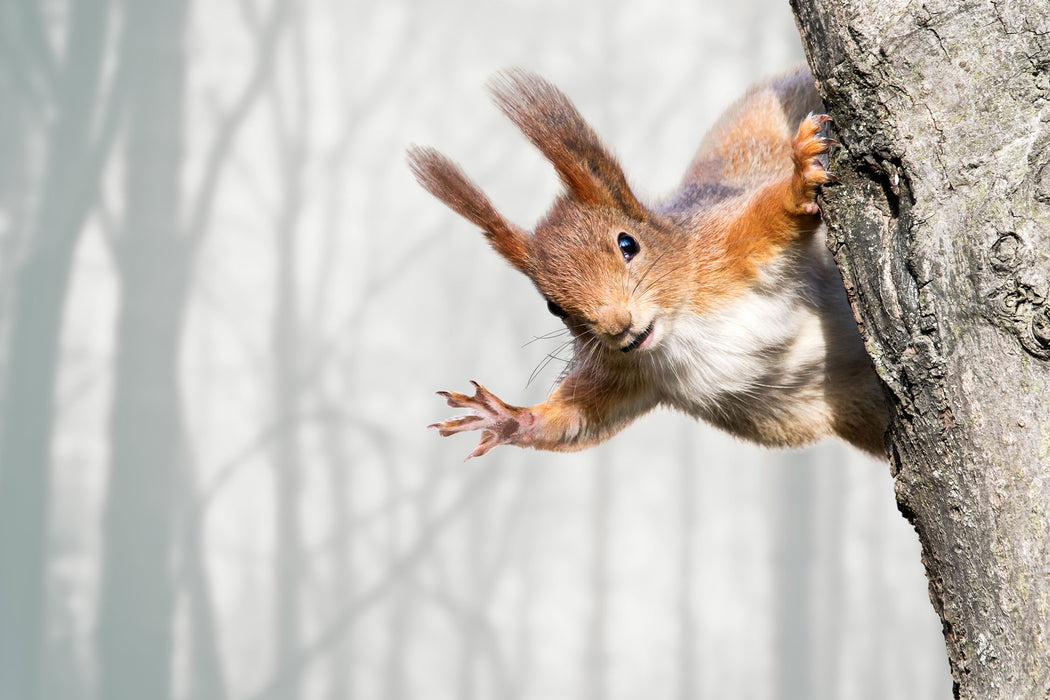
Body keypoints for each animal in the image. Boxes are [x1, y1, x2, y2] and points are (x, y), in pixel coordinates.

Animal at [407, 65, 886, 459]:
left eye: (628, 244)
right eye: (553, 307)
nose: (618, 327)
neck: (680, 327)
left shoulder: (724, 246)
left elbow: (769, 215)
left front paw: (799, 179)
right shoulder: (625, 373)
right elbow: (578, 419)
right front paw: (506, 417)